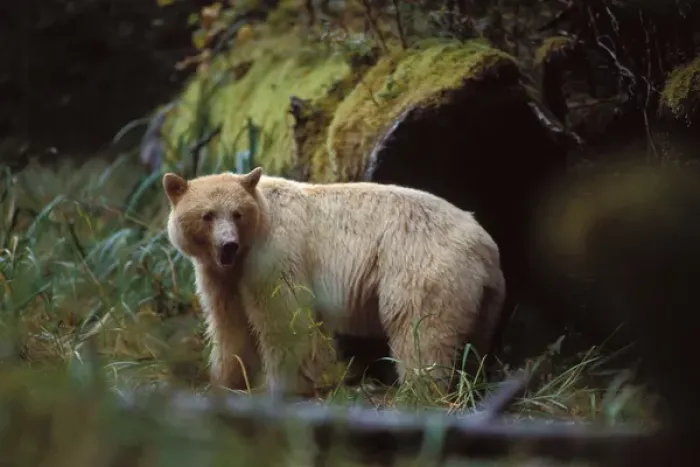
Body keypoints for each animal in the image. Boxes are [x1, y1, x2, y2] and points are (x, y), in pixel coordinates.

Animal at [162, 166, 506, 396]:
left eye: (236, 213)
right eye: (207, 215)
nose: (228, 245)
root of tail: (486, 244)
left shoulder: (274, 254)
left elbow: (283, 320)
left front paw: (284, 385)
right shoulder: (220, 276)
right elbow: (229, 325)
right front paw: (228, 381)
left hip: (421, 268)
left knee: (420, 332)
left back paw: (419, 391)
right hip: (479, 294)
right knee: (472, 339)